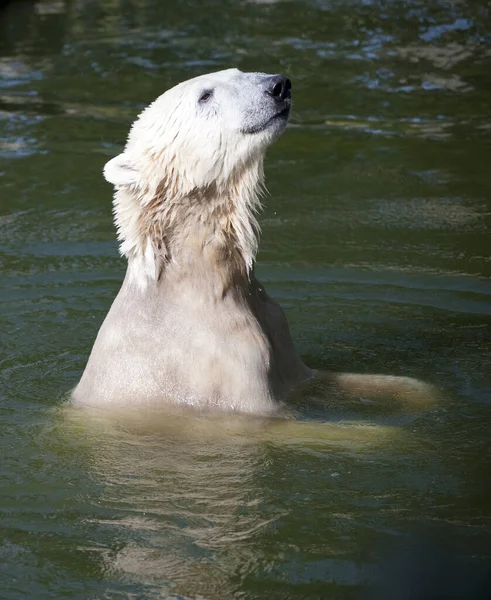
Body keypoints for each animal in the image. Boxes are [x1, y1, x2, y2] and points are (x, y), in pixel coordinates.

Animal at [73, 67, 434, 412]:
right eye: (205, 95)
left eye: (238, 72)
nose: (279, 85)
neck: (195, 279)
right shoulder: (222, 359)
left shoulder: (276, 329)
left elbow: (313, 377)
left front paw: (418, 390)